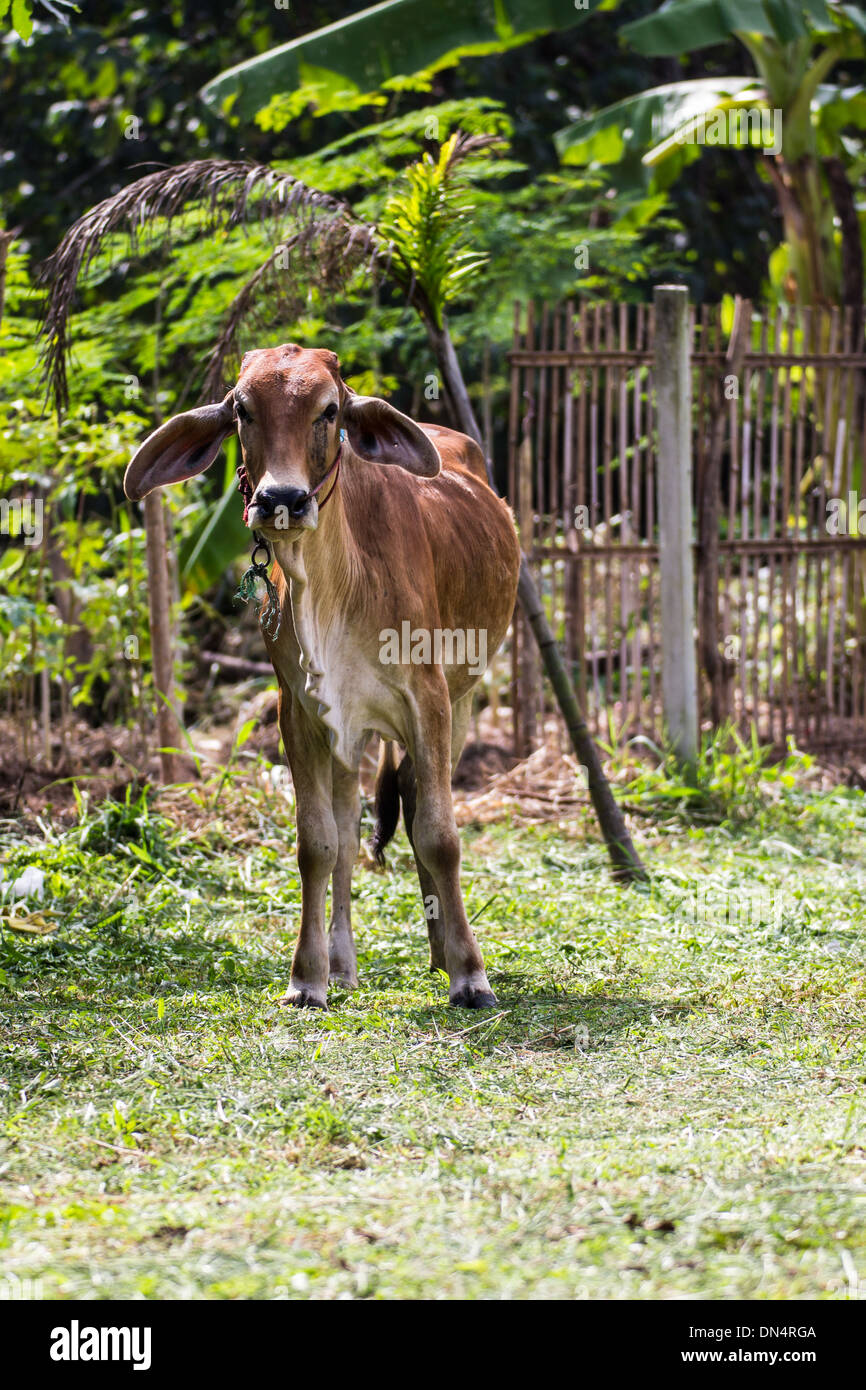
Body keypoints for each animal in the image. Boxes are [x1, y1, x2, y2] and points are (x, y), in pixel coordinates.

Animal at [124, 341, 517, 1006]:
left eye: (329, 410)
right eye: (242, 408)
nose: (281, 499)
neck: (333, 588)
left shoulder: (430, 701)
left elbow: (440, 835)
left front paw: (470, 974)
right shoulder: (304, 714)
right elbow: (319, 844)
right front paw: (308, 976)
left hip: (460, 704)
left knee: (414, 803)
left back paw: (441, 952)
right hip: (348, 734)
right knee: (351, 837)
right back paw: (344, 963)